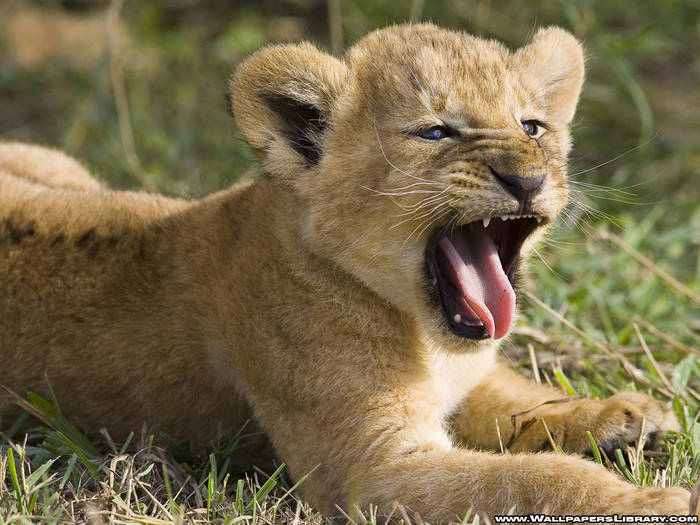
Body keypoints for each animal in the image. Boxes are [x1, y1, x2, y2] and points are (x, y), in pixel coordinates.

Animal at [0, 24, 691, 521]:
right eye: (435, 132)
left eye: (532, 126)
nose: (526, 179)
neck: (422, 332)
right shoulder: (371, 471)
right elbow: (531, 479)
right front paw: (650, 501)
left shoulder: (466, 381)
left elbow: (525, 399)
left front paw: (623, 414)